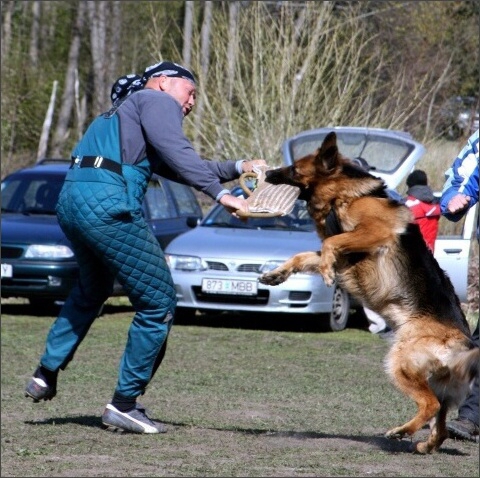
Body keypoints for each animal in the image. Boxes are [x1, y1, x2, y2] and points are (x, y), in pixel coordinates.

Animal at [260, 133, 478, 454]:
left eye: (294, 169)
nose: (267, 173)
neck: (348, 195)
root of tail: (465, 343)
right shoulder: (344, 252)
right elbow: (304, 255)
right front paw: (277, 274)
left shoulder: (373, 233)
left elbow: (330, 243)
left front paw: (325, 273)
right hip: (440, 383)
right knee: (439, 422)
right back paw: (425, 444)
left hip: (401, 363)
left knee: (430, 404)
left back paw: (401, 431)